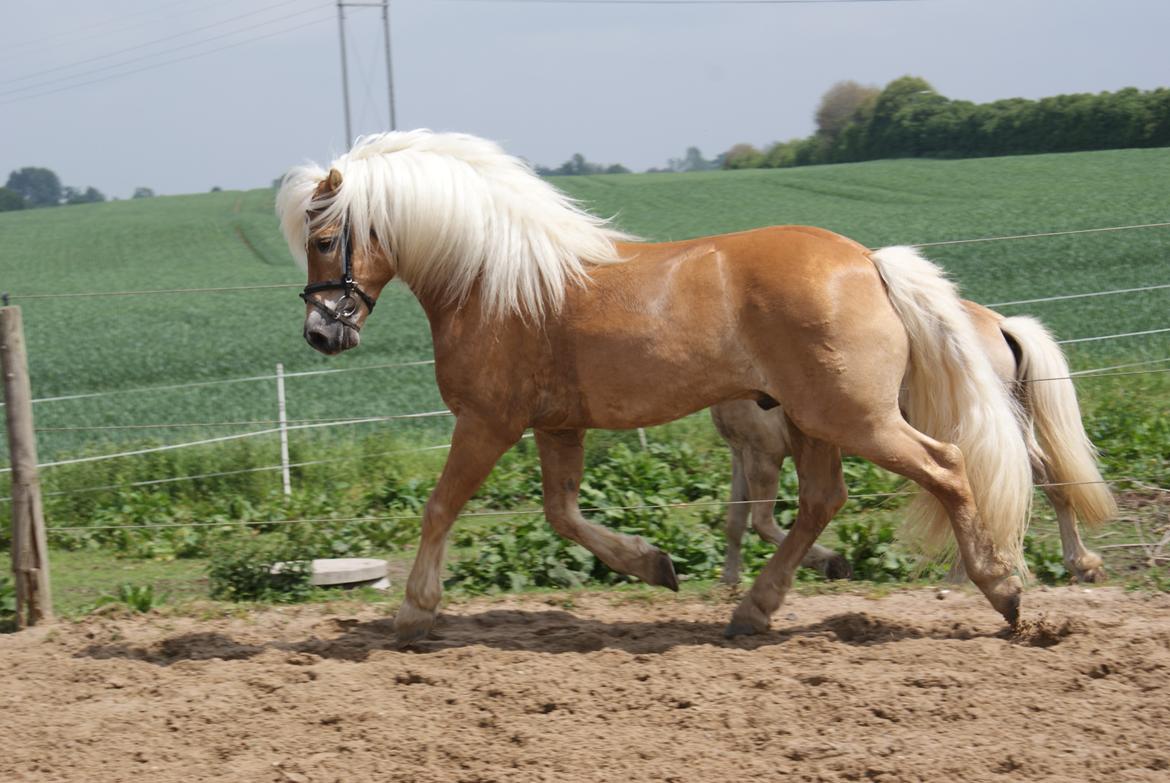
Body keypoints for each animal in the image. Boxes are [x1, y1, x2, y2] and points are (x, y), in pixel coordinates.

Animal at [280, 129, 1034, 641]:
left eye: (323, 239)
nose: (320, 333)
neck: (494, 278)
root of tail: (870, 262)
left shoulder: (487, 422)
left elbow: (440, 508)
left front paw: (414, 611)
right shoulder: (557, 425)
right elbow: (562, 514)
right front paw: (653, 563)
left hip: (854, 418)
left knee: (947, 466)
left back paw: (1004, 592)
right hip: (814, 420)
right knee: (823, 500)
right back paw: (754, 608)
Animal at [711, 301, 1113, 582]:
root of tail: (1001, 326)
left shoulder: (763, 455)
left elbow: (762, 523)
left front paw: (833, 564)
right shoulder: (741, 455)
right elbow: (735, 519)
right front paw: (729, 580)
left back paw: (968, 573)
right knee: (1044, 481)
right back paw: (1079, 564)